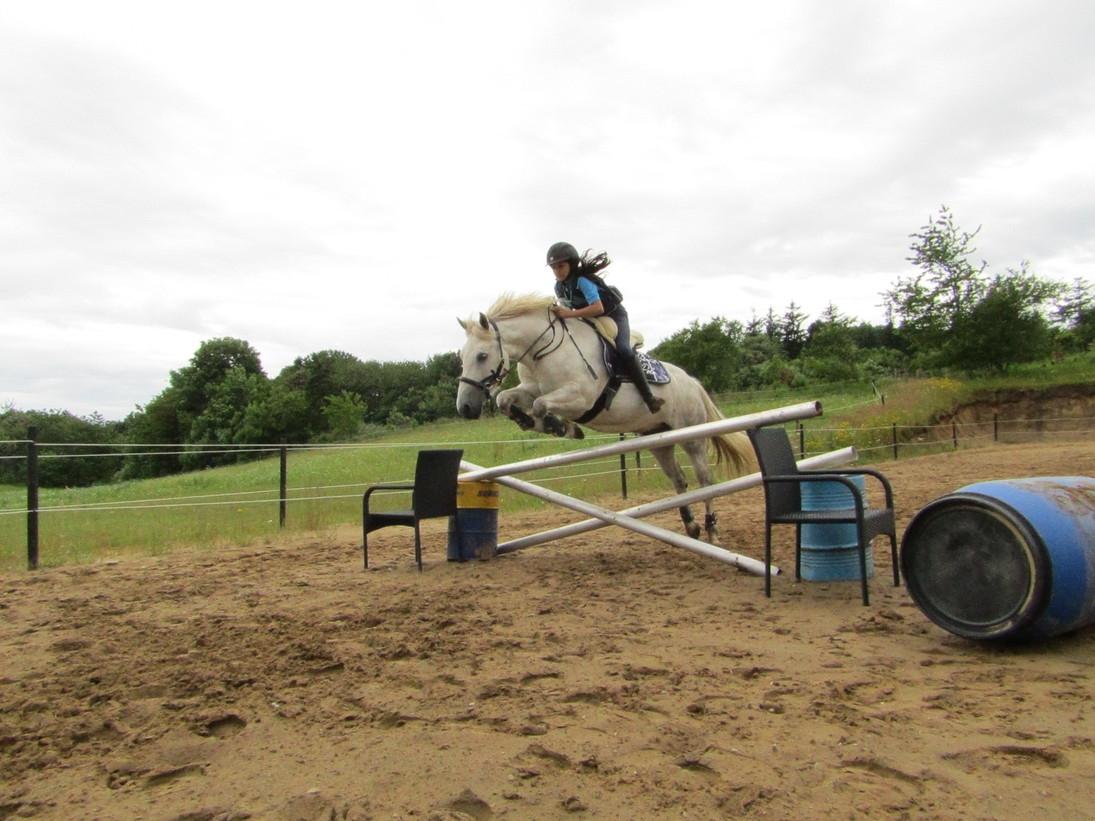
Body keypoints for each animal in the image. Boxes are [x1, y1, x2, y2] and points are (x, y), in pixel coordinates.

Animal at [453, 293, 753, 542]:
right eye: (461, 357)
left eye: (482, 355)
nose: (465, 408)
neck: (544, 351)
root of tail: (691, 381)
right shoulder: (530, 389)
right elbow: (506, 400)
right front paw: (533, 422)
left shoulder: (580, 398)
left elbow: (540, 405)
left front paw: (560, 426)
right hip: (658, 438)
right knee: (679, 480)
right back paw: (691, 527)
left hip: (692, 437)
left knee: (705, 480)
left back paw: (712, 530)